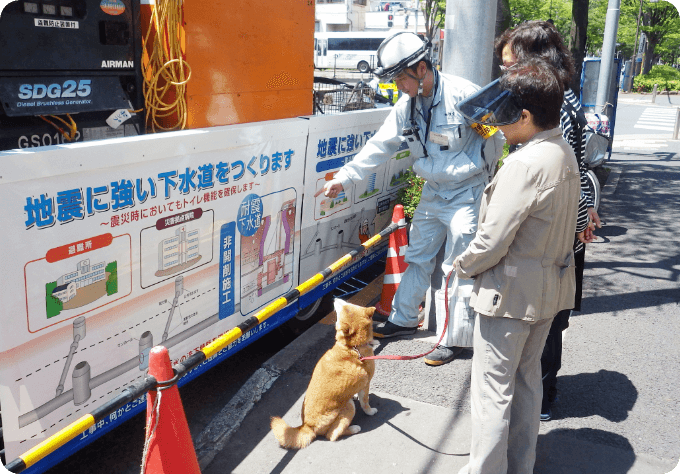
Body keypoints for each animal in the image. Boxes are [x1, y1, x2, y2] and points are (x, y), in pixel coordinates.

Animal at [270, 300, 378, 448]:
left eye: (346, 305)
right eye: (343, 307)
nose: (335, 299)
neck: (352, 348)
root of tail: (308, 426)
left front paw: (355, 395)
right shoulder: (366, 384)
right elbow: (365, 403)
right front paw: (370, 411)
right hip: (349, 407)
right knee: (332, 435)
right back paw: (354, 428)